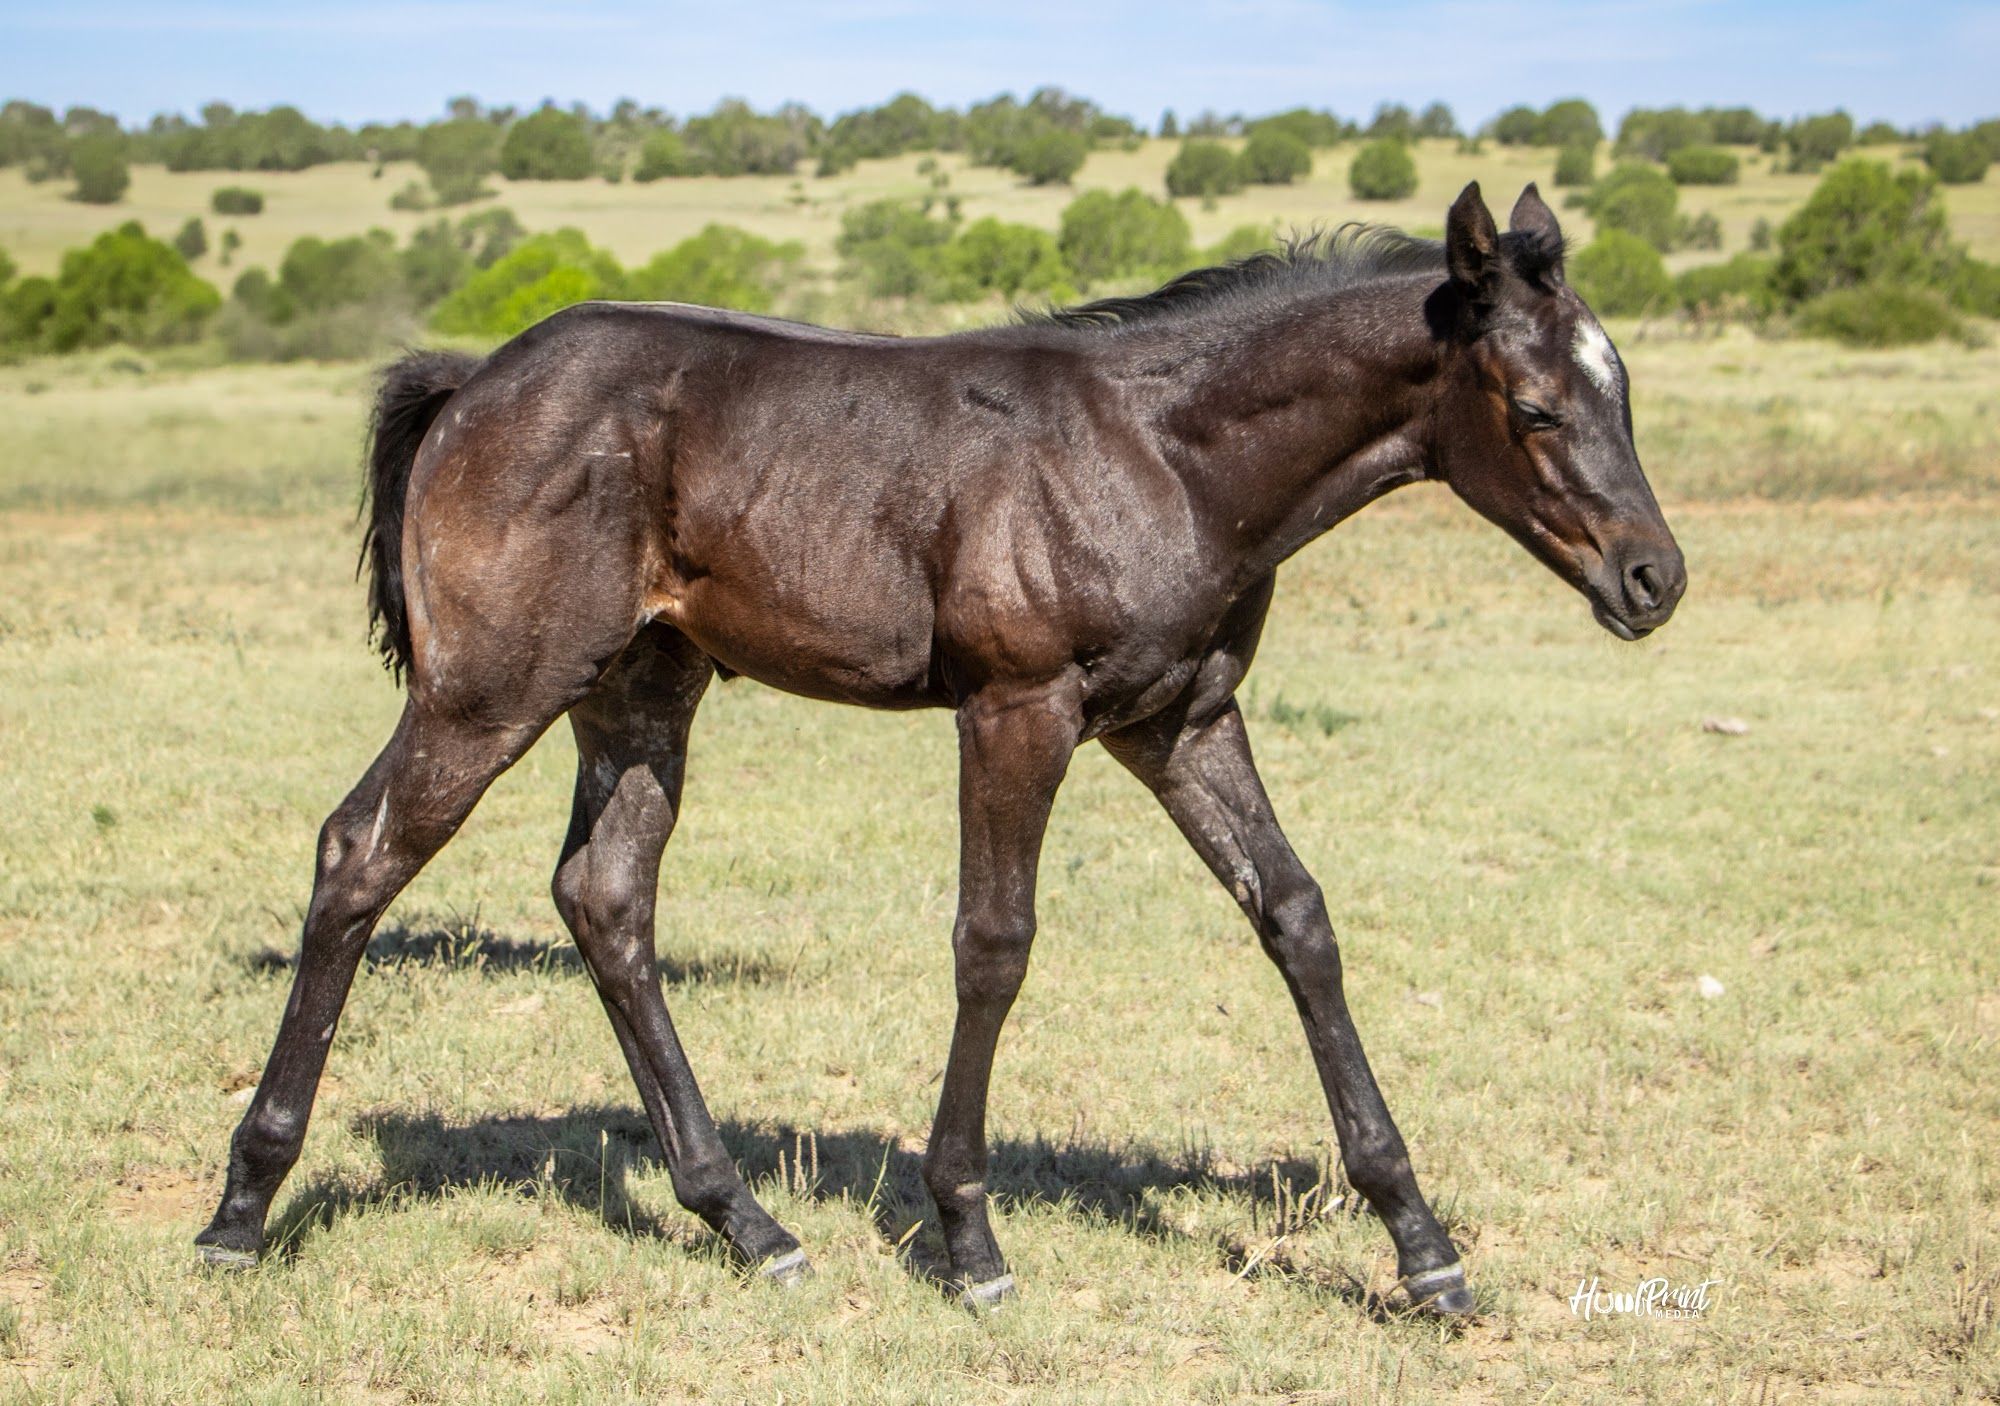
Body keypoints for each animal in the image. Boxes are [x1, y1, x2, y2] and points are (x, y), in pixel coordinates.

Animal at [196, 182, 1685, 1317]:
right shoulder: (1018, 710)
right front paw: (966, 1236)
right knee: (358, 856)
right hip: (488, 692)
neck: (1162, 452)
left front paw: (1421, 1245)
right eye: (1536, 406)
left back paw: (744, 1219)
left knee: (603, 897)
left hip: (639, 689)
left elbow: (1297, 917)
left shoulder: (1180, 719)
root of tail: (471, 382)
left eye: (1622, 392)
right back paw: (240, 1207)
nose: (1654, 577)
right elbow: (994, 941)